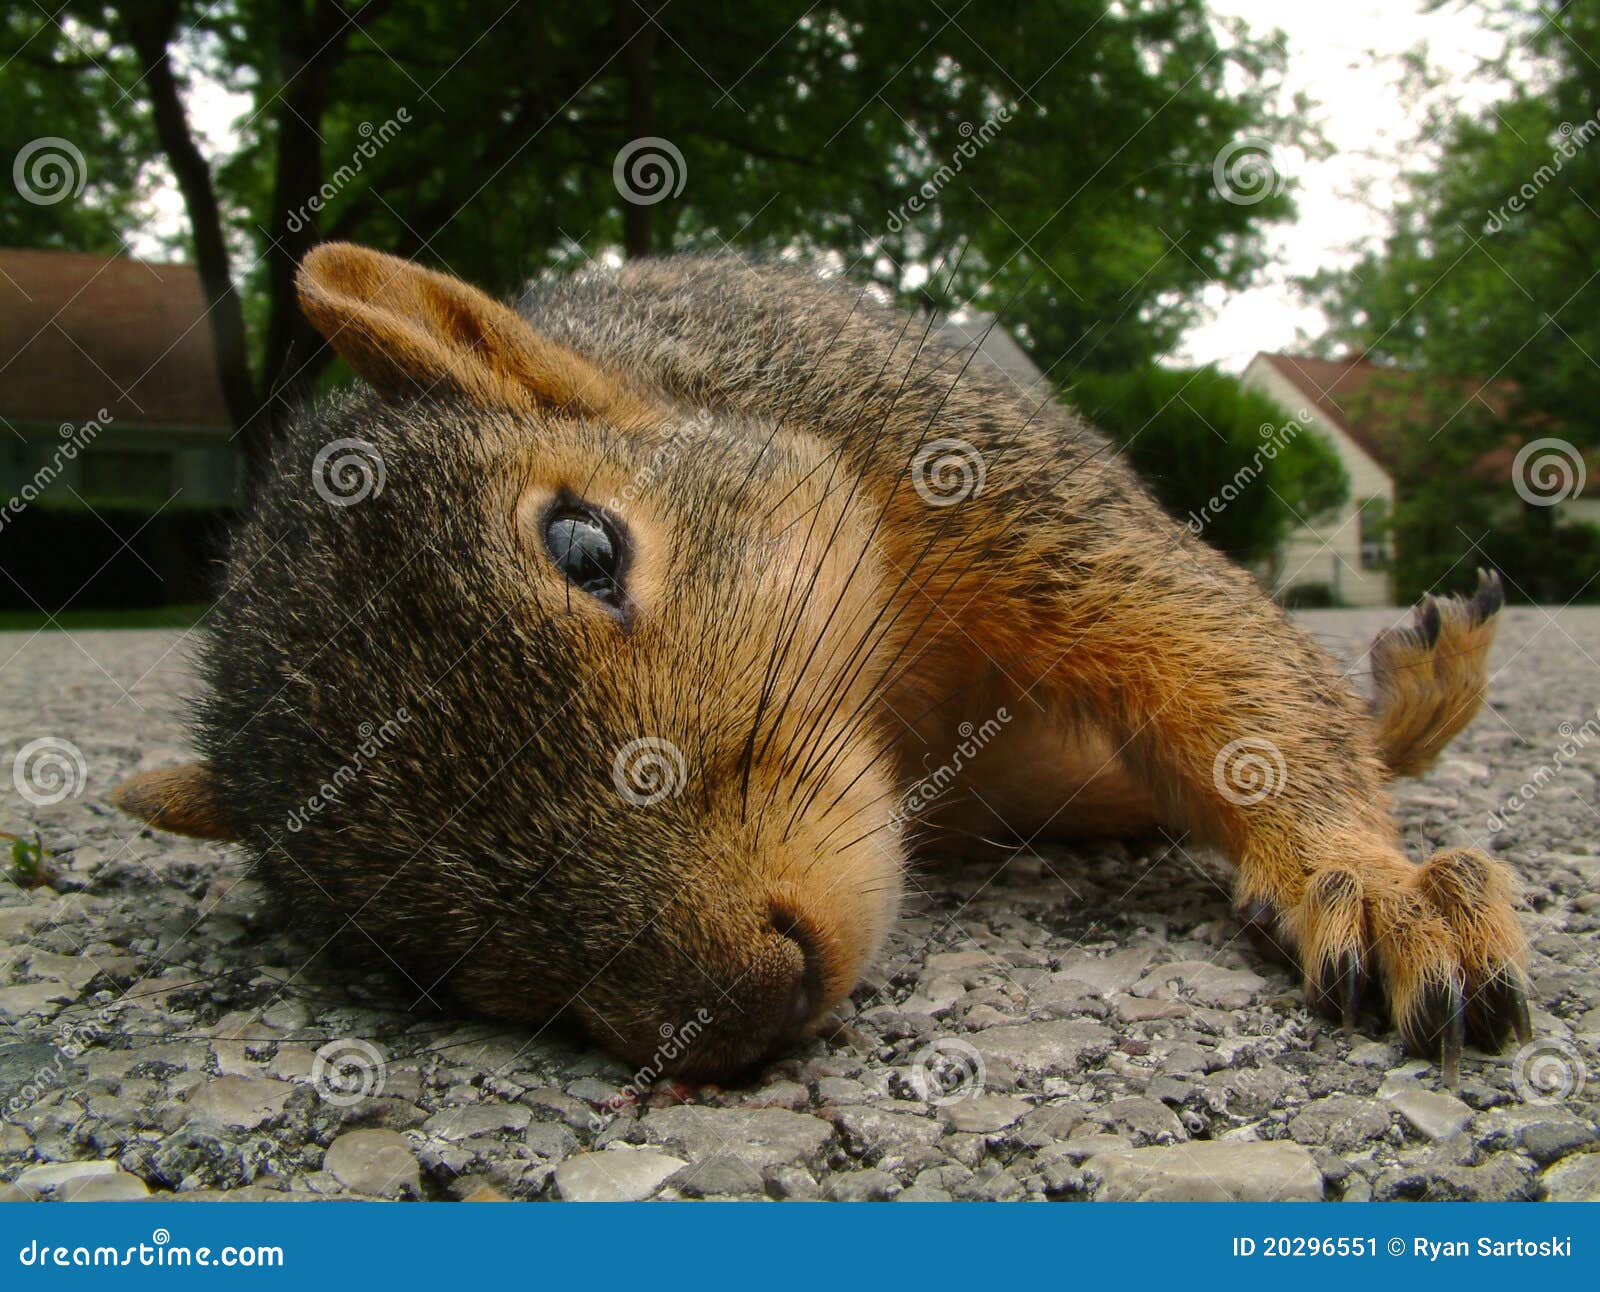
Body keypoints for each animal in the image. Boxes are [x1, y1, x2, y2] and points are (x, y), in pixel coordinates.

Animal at [112, 243, 1530, 1082]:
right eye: (399, 952)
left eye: (584, 542)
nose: (743, 999)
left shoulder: (981, 479)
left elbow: (1222, 667)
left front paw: (1381, 888)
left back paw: (1429, 679)